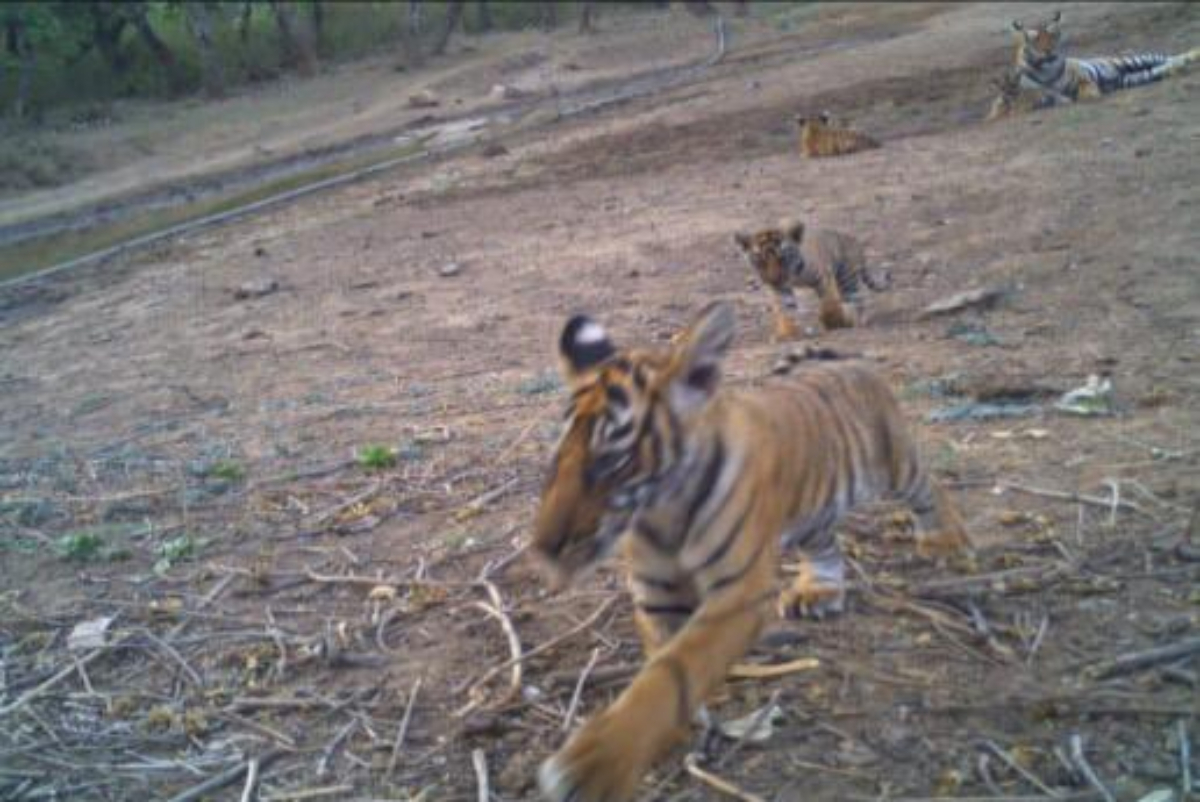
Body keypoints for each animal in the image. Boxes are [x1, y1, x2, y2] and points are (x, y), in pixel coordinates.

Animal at [531, 301, 971, 802]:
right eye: (558, 459)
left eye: (613, 461)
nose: (543, 548)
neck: (662, 511)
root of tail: (845, 360)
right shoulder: (657, 593)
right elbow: (662, 659)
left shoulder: (738, 593)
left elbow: (677, 668)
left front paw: (596, 765)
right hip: (814, 513)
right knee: (826, 547)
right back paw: (818, 592)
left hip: (896, 463)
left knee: (930, 487)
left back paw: (946, 540)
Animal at [733, 220, 890, 340]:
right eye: (760, 260)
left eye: (782, 258)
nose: (774, 279)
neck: (794, 276)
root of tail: (855, 241)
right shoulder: (781, 289)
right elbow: (786, 309)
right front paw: (787, 334)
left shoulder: (823, 278)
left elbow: (829, 304)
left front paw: (834, 323)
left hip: (847, 278)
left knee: (858, 299)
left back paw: (857, 321)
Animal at [1011, 10, 1200, 103]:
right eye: (1035, 40)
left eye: (1053, 36)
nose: (1050, 51)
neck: (1047, 70)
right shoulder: (1035, 93)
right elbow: (1049, 95)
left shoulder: (1084, 78)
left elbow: (1085, 90)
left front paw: (1088, 94)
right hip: (1135, 78)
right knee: (1165, 66)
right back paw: (1179, 68)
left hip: (1134, 60)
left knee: (1167, 57)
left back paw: (1191, 54)